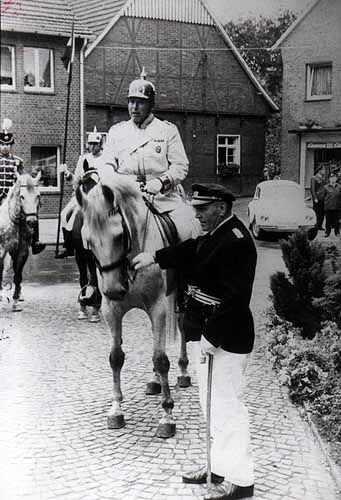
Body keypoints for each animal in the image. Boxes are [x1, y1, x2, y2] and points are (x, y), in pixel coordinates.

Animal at [0, 174, 41, 310]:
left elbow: (17, 275)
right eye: (22, 196)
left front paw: (16, 300)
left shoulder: (22, 251)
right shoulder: (1, 251)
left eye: (38, 195)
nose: (32, 221)